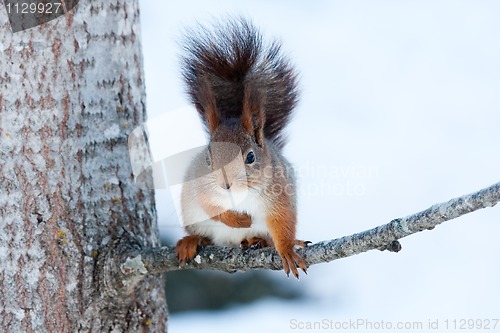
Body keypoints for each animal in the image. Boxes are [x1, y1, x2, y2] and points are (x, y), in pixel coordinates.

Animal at [176, 18, 308, 278]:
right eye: (208, 159)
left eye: (250, 157)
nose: (225, 185)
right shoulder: (201, 185)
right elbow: (210, 205)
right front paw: (238, 220)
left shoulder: (279, 194)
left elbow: (282, 222)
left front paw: (287, 249)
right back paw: (192, 241)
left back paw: (258, 240)